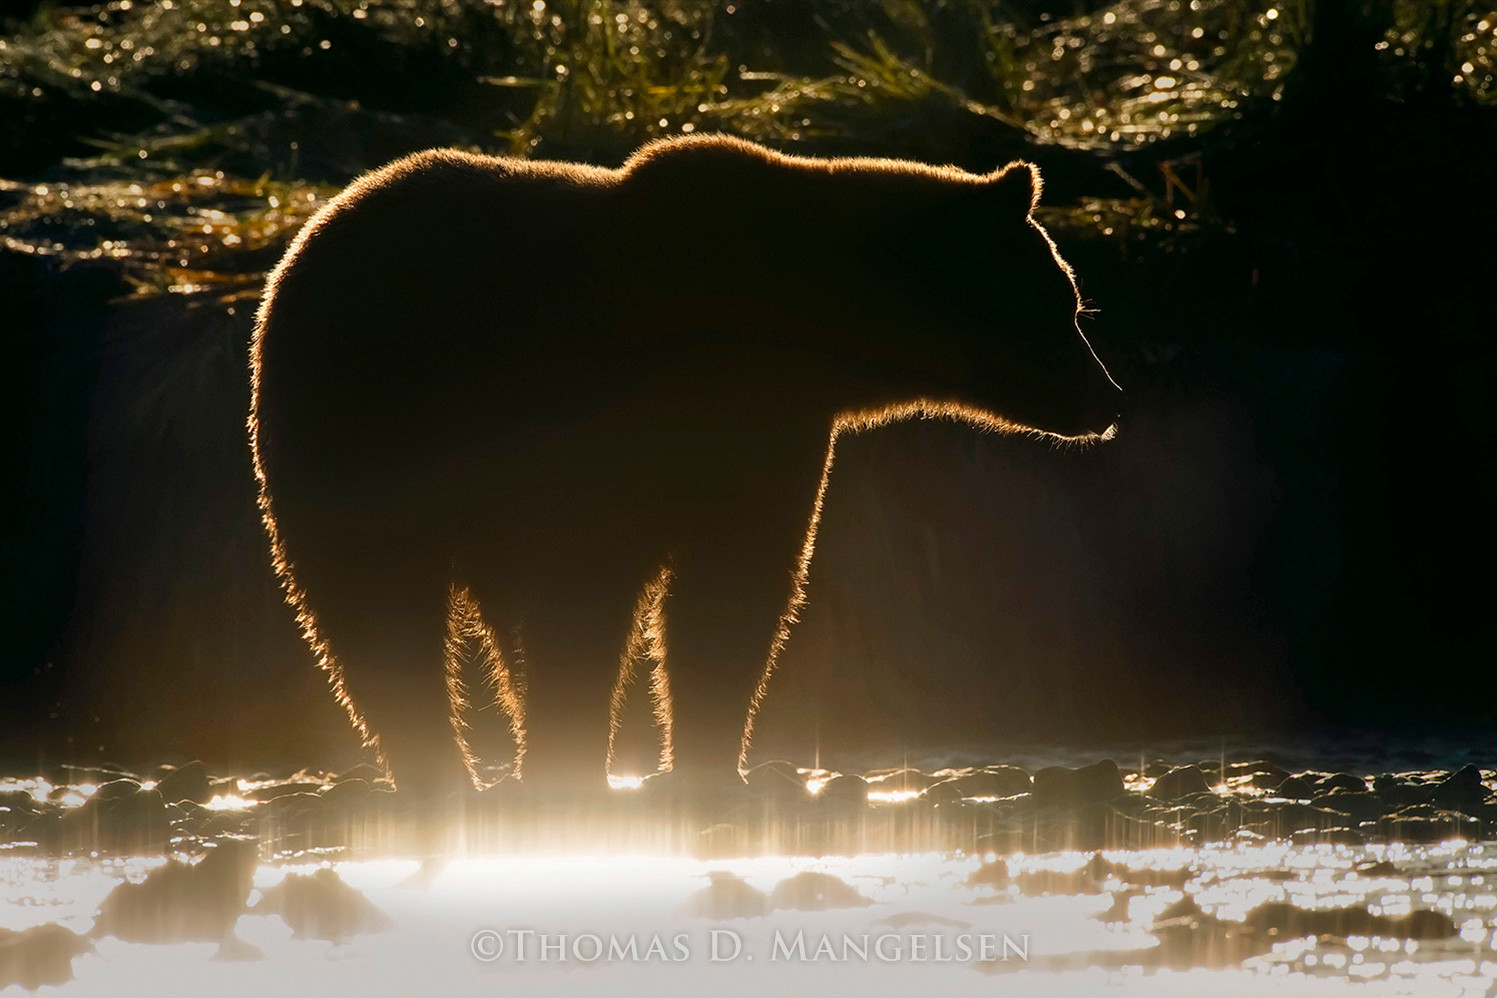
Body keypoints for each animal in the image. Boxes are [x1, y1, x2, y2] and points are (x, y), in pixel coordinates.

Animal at [249, 134, 1121, 797]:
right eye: (1064, 305)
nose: (1107, 398)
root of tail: (307, 240)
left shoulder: (770, 434)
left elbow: (736, 587)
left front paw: (707, 760)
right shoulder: (618, 426)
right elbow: (600, 592)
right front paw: (573, 760)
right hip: (360, 427)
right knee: (373, 607)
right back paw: (442, 766)